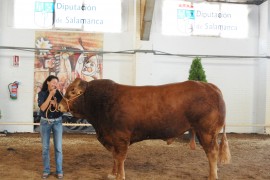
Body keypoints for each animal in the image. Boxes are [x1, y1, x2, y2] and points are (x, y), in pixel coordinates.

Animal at [58, 78, 231, 179]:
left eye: (72, 91)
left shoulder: (120, 137)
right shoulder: (111, 138)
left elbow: (120, 158)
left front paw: (120, 176)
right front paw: (113, 174)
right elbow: (114, 157)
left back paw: (212, 176)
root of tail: (210, 86)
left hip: (207, 132)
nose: (58, 106)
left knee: (212, 153)